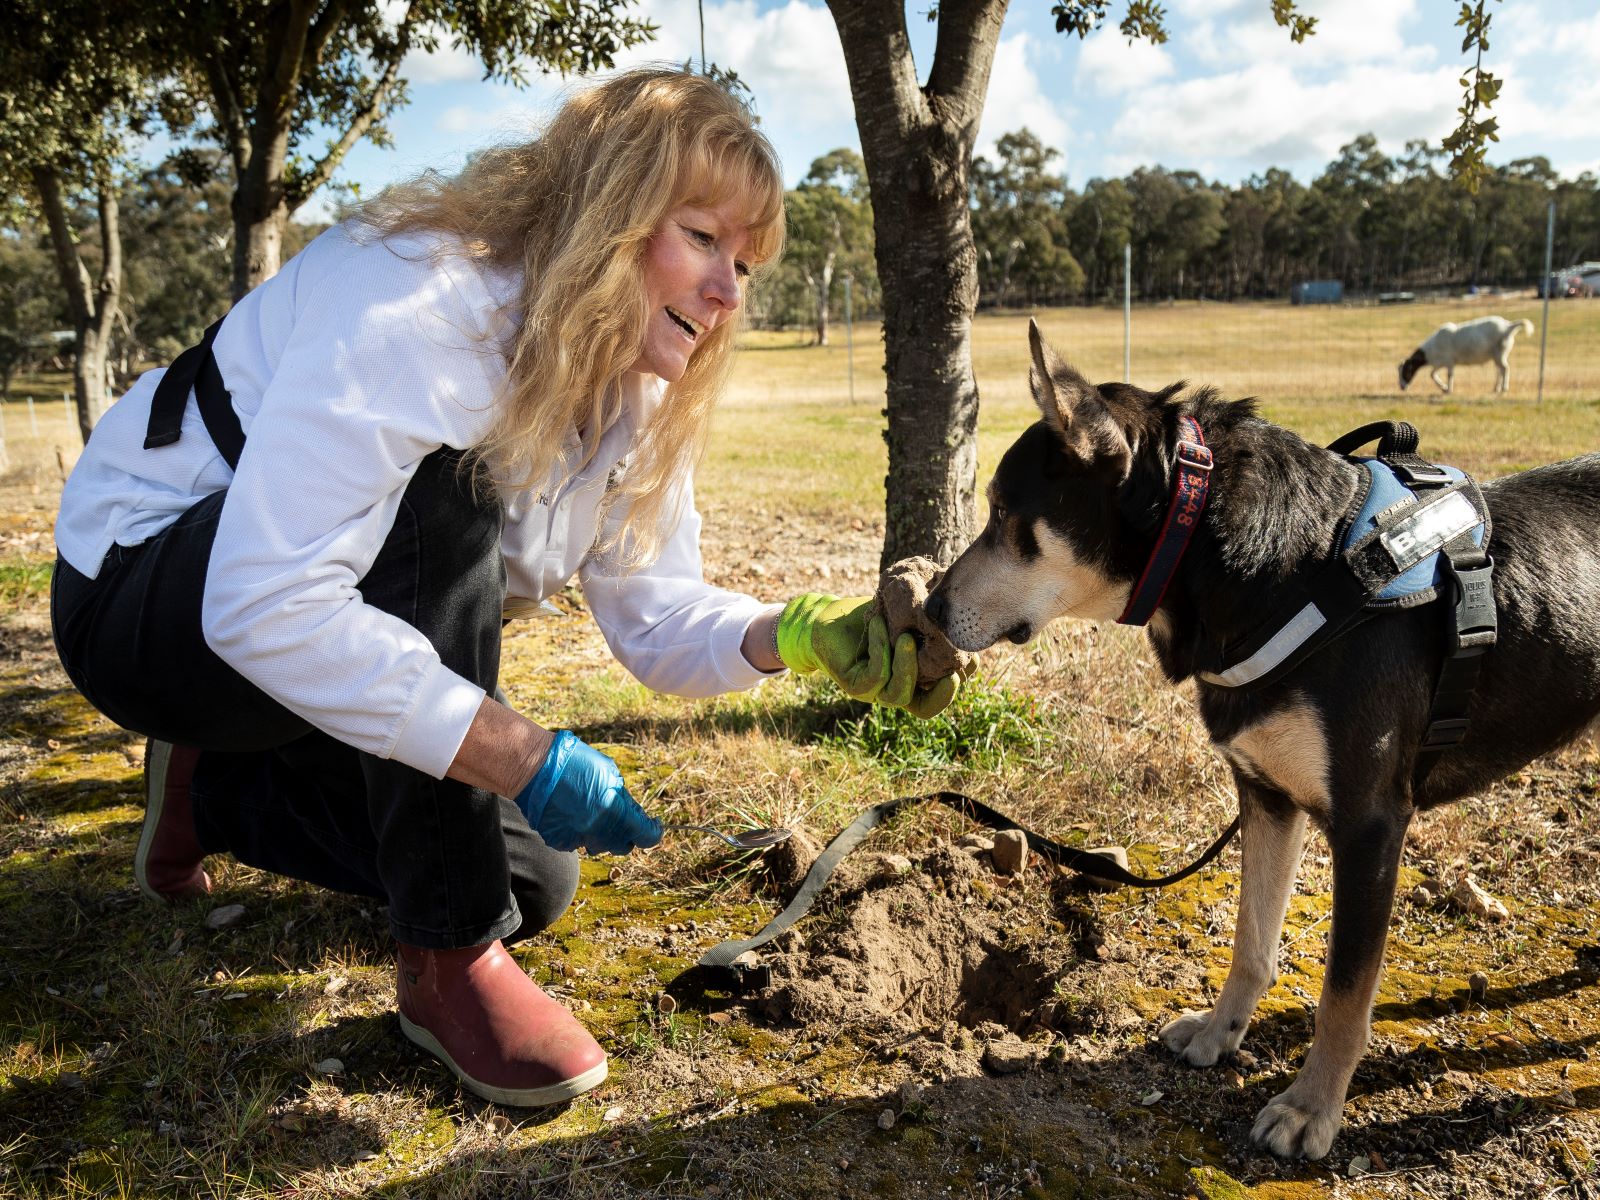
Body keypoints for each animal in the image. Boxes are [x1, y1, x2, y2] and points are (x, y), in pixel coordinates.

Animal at [1401, 315, 1536, 395]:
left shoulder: (1449, 361)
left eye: (1406, 371)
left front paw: (1448, 390)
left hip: (1500, 352)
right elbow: (1432, 374)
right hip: (1497, 354)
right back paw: (1496, 388)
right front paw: (1444, 388)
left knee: (1505, 369)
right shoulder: (1440, 363)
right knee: (1499, 370)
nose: (1402, 387)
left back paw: (1503, 389)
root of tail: (1508, 326)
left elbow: (1449, 375)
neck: (1431, 349)